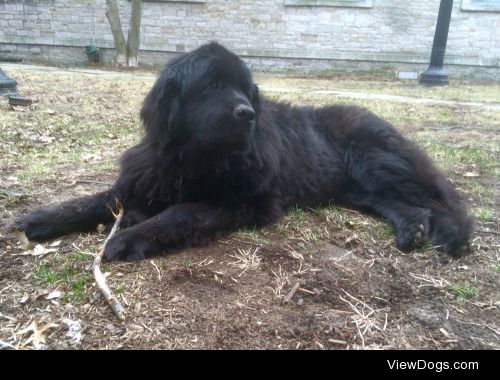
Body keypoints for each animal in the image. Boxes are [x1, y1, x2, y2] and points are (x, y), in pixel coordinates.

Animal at [14, 42, 472, 262]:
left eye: (245, 89)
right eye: (212, 85)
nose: (247, 113)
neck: (193, 159)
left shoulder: (244, 199)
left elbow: (181, 212)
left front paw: (129, 238)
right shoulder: (146, 177)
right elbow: (98, 199)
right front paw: (43, 218)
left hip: (374, 161)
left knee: (436, 202)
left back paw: (450, 236)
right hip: (355, 187)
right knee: (405, 205)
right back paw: (412, 229)